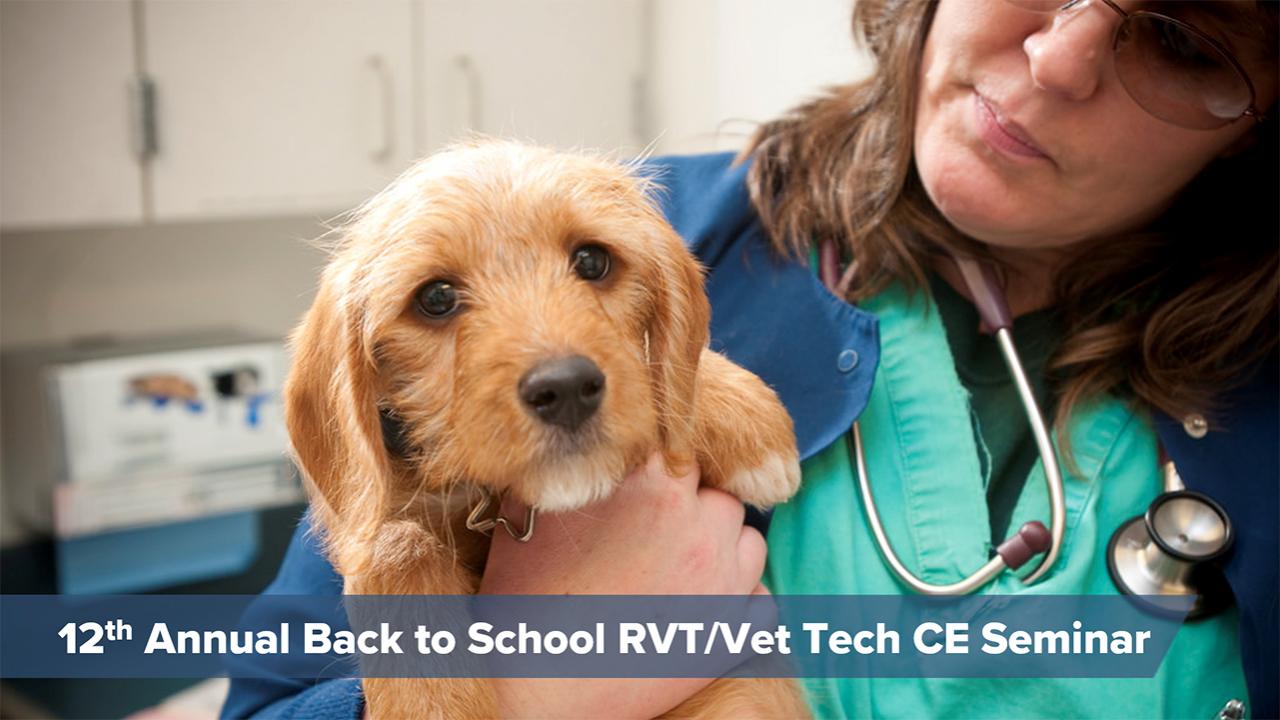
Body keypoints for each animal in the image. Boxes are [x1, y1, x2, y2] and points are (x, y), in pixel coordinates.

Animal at [289, 141, 803, 717]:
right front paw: (432, 703)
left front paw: (744, 414)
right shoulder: (370, 513)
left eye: (592, 261)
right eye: (436, 298)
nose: (566, 387)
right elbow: (389, 544)